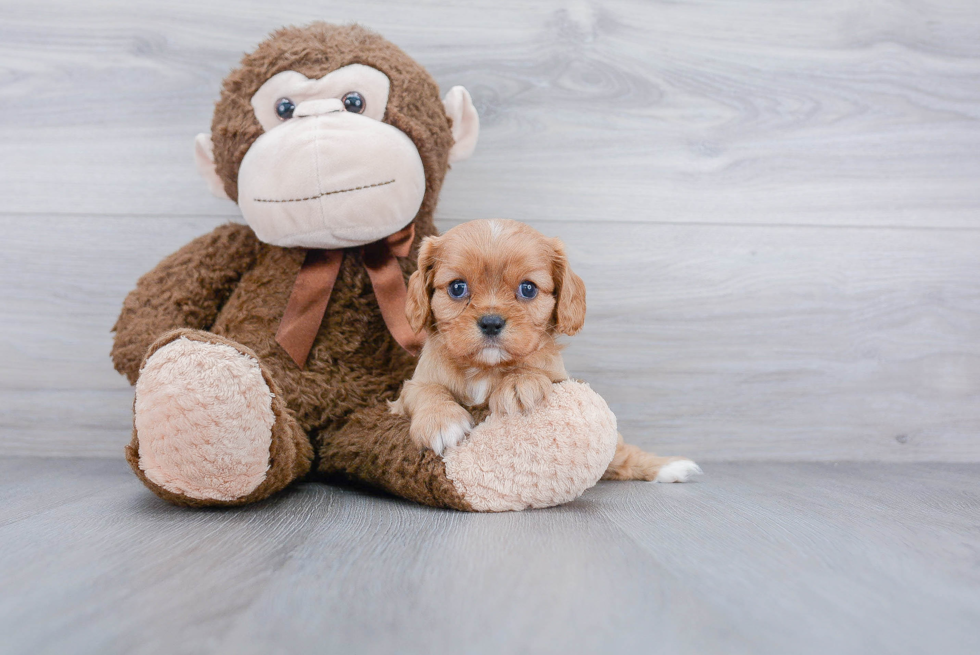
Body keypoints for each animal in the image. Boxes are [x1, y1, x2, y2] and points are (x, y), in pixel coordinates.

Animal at [386, 220, 700, 482]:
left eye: (528, 288)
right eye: (457, 287)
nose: (491, 322)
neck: (486, 369)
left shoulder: (561, 378)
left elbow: (536, 369)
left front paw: (519, 382)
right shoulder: (408, 391)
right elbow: (426, 390)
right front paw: (442, 420)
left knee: (620, 453)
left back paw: (669, 467)